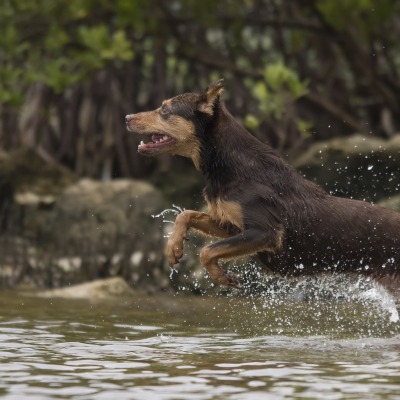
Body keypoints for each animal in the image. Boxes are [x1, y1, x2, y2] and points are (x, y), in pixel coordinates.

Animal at [125, 80, 400, 294]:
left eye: (164, 110)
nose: (127, 118)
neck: (228, 165)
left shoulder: (266, 232)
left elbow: (206, 250)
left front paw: (221, 276)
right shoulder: (233, 224)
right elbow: (186, 215)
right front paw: (173, 248)